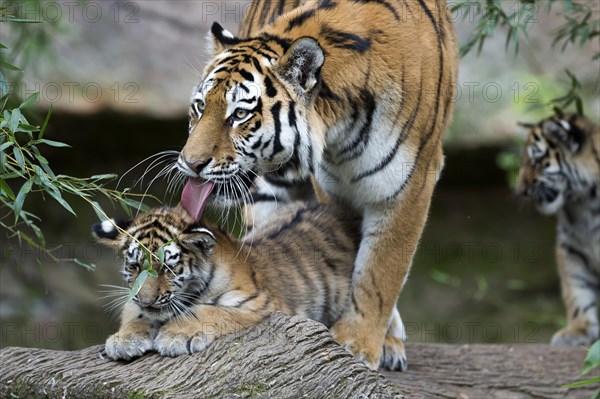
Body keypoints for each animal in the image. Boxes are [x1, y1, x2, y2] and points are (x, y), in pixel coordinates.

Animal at [176, 0, 458, 370]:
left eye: (239, 115)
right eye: (199, 107)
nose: (190, 164)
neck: (343, 127)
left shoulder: (409, 184)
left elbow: (382, 270)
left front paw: (358, 344)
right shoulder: (336, 191)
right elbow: (352, 260)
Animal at [516, 113, 600, 346]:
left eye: (535, 161)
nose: (520, 190)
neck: (583, 202)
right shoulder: (570, 248)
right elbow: (576, 289)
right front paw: (578, 330)